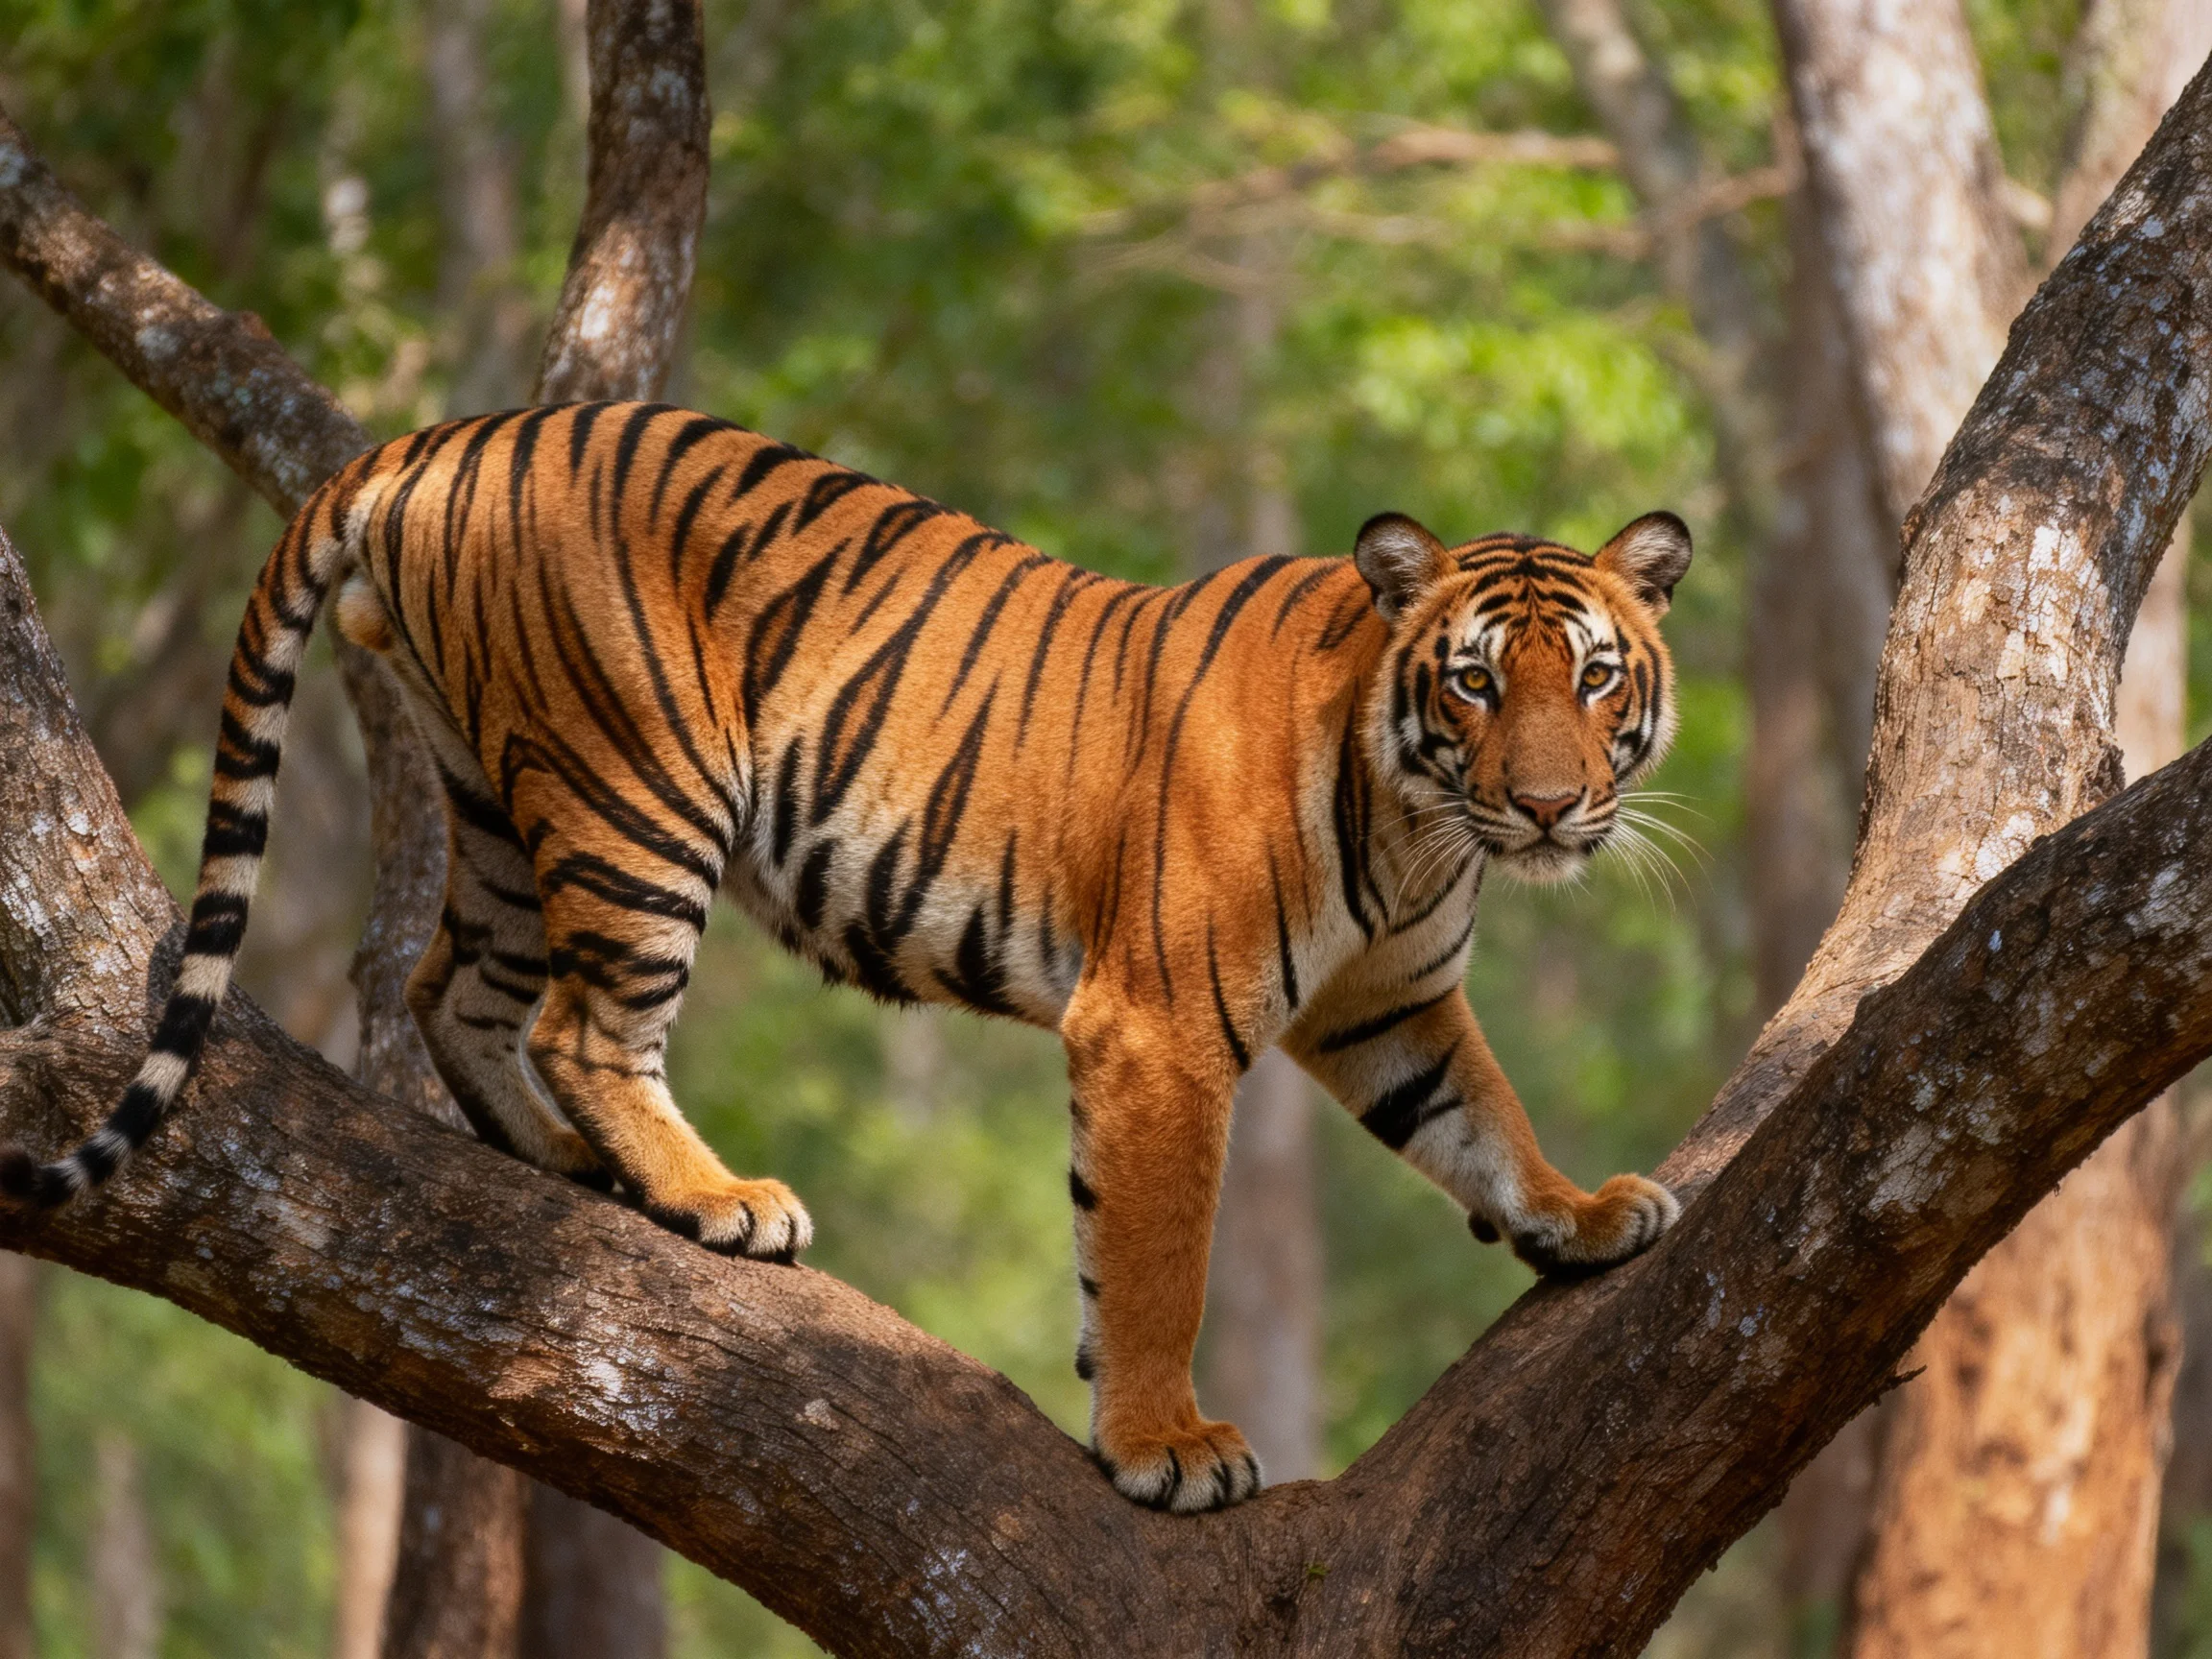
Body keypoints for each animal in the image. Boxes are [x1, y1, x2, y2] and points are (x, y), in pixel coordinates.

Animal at [4, 402, 1689, 1512]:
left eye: (1596, 679)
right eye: (1476, 685)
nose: (1553, 805)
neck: (1420, 825)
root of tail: (437, 436)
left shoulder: (1388, 1002)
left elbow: (1479, 1117)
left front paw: (1581, 1211)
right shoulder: (1158, 1027)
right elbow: (1156, 1257)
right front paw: (1166, 1445)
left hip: (493, 794)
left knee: (451, 988)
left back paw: (580, 1171)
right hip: (636, 790)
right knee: (578, 1024)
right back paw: (713, 1198)